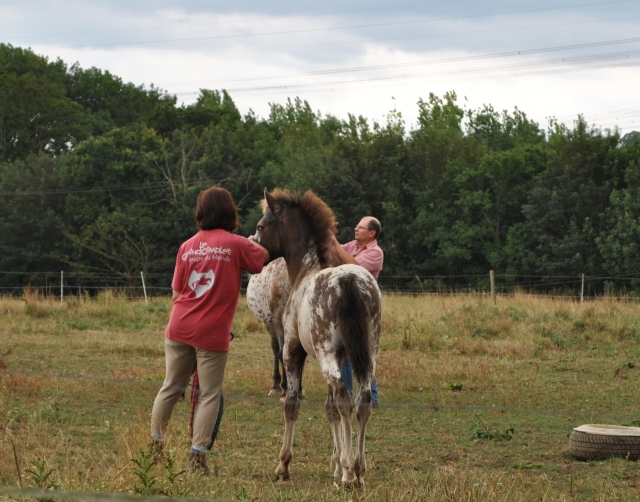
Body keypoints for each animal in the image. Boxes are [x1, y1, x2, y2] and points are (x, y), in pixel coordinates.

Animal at [252, 187, 380, 486]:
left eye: (261, 226)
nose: (255, 253)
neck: (304, 273)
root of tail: (348, 281)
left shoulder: (292, 352)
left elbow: (292, 404)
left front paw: (283, 465)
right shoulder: (343, 357)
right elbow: (329, 407)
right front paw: (337, 464)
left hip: (325, 356)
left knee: (345, 398)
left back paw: (349, 475)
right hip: (367, 354)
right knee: (362, 401)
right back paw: (359, 469)